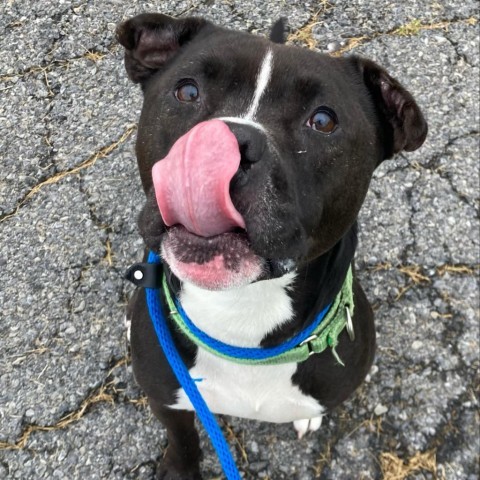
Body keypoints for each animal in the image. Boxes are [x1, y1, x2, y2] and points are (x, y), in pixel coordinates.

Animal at [116, 14, 428, 480]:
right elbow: (183, 438)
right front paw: (179, 469)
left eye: (324, 121)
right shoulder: (167, 398)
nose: (231, 139)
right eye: (187, 91)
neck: (241, 313)